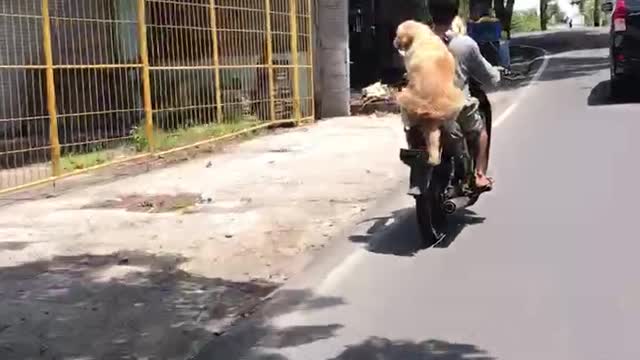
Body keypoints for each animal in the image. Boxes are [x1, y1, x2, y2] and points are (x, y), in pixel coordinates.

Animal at [392, 20, 462, 166]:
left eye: (397, 35)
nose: (394, 41)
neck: (422, 35)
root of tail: (429, 109)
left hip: (404, 98)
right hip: (455, 99)